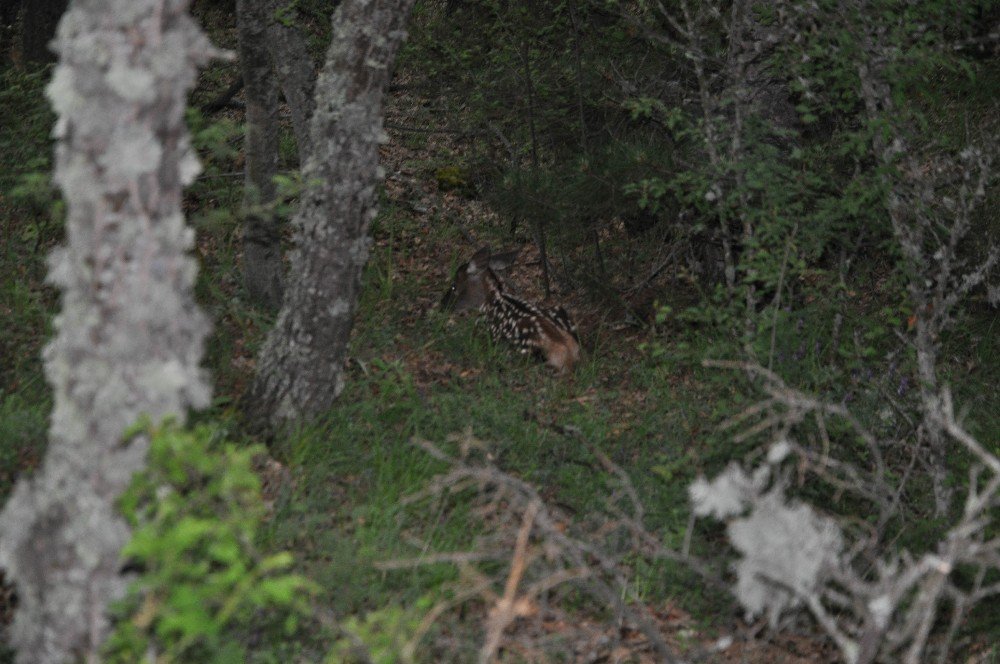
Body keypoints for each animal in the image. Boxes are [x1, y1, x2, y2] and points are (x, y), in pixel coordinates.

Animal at [442, 248, 584, 376]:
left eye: (454, 286)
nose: (443, 305)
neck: (492, 299)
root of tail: (566, 350)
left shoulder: (487, 328)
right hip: (560, 312)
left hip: (521, 347)